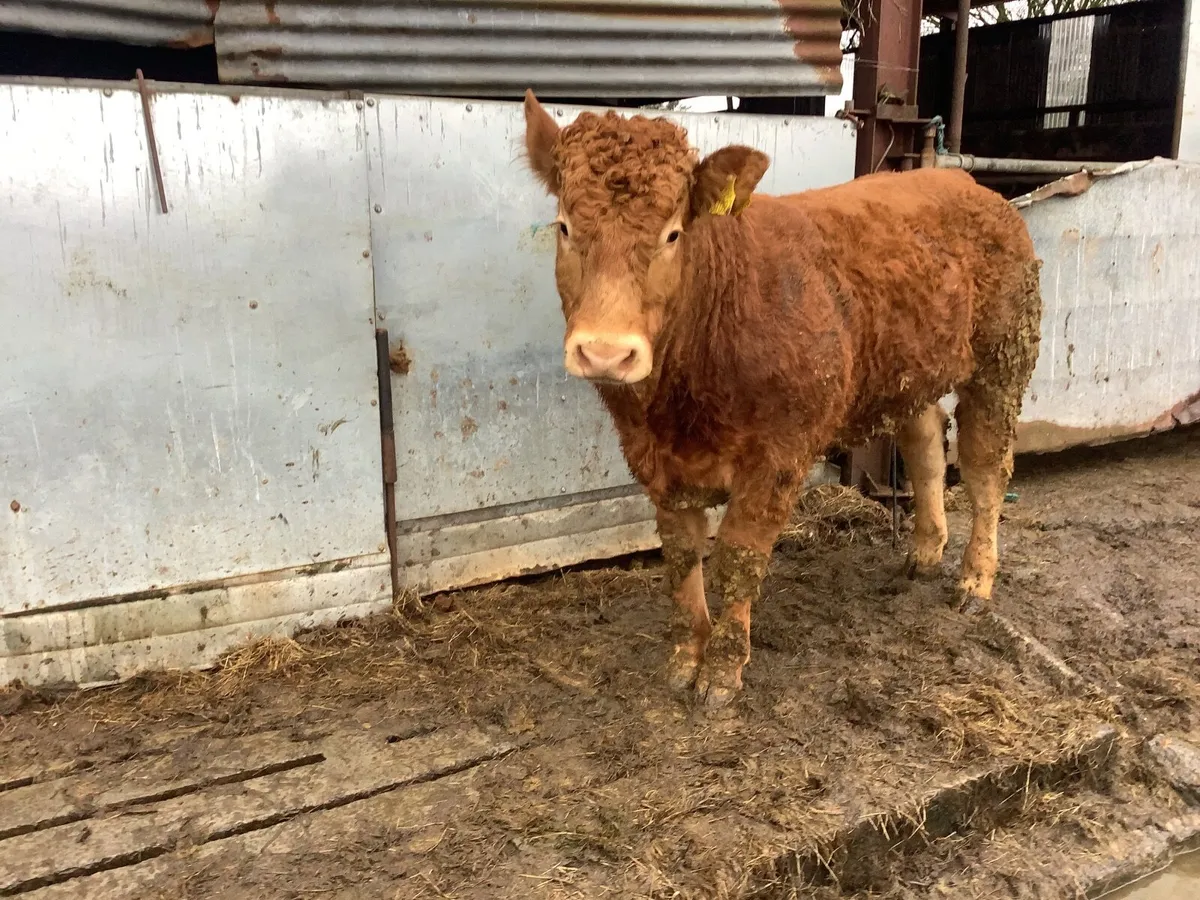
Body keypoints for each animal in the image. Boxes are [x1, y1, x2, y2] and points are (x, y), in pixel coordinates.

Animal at [520, 91, 1042, 708]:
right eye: (565, 226)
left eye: (673, 234)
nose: (605, 352)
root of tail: (967, 184)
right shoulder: (652, 456)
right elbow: (681, 556)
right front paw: (685, 658)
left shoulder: (780, 455)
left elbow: (738, 556)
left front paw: (722, 671)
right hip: (906, 372)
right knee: (925, 449)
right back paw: (924, 552)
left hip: (1003, 359)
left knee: (986, 468)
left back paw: (975, 580)